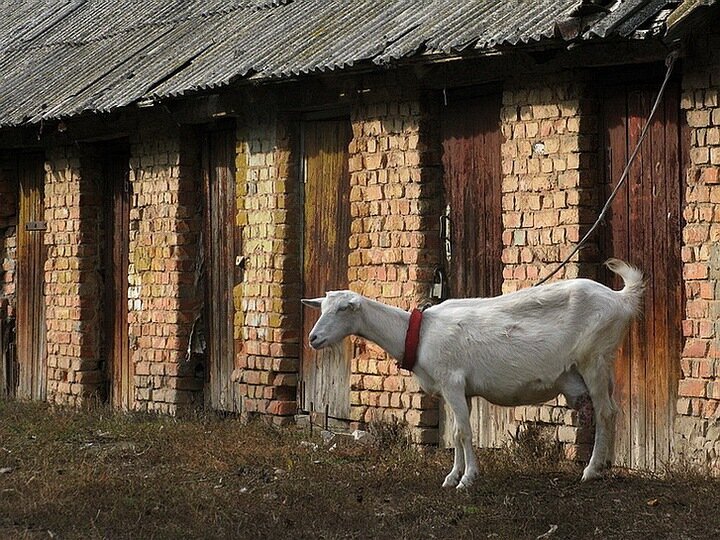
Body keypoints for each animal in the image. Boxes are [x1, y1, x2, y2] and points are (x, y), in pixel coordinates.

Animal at [300, 258, 644, 490]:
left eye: (343, 309)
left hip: (594, 357)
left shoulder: (452, 381)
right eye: (322, 308)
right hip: (601, 364)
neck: (418, 334)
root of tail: (621, 298)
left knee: (606, 412)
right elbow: (455, 433)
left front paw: (467, 479)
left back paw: (591, 470)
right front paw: (452, 476)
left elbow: (465, 432)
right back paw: (604, 465)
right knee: (610, 410)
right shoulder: (455, 390)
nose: (313, 338)